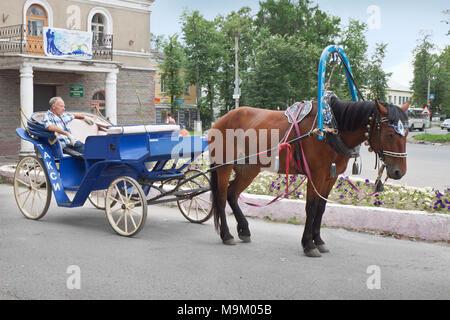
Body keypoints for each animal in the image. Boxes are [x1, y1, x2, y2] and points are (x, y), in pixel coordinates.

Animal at [208, 95, 412, 258]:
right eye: (390, 133)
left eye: (407, 132)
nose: (399, 172)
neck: (330, 130)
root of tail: (219, 121)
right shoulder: (316, 175)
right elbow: (311, 208)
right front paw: (308, 244)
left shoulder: (330, 177)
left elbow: (321, 208)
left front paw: (319, 241)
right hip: (224, 166)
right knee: (221, 197)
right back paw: (226, 234)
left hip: (249, 168)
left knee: (232, 194)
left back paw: (244, 229)